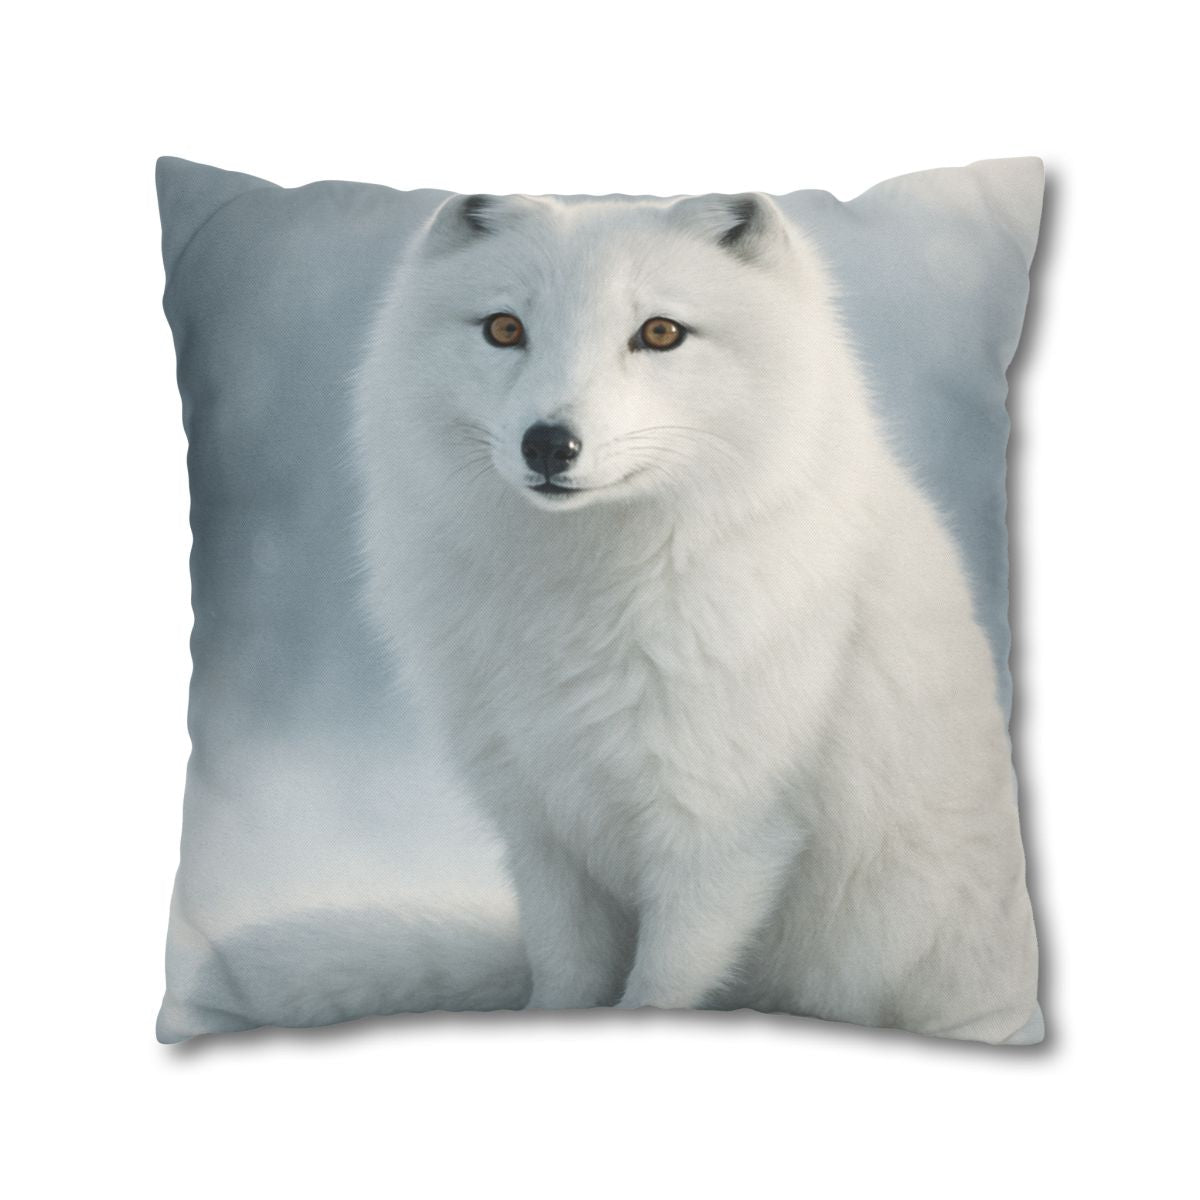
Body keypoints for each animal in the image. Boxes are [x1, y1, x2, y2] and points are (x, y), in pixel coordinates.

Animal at [353, 190, 1041, 1044]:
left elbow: (663, 984)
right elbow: (564, 976)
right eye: (505, 328)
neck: (580, 594)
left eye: (660, 333)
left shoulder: (721, 829)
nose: (549, 444)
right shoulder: (542, 824)